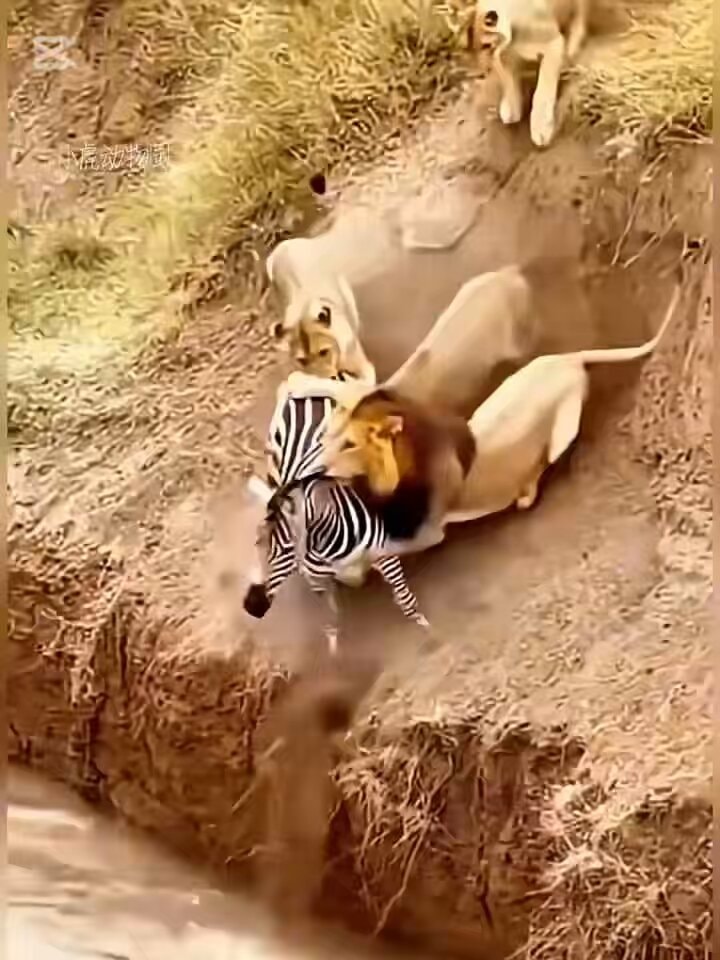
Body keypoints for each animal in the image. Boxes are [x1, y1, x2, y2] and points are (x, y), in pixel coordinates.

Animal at [243, 386, 429, 651]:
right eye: (256, 544)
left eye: (285, 548)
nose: (251, 606)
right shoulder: (317, 580)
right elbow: (330, 619)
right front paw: (335, 653)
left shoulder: (385, 556)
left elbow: (405, 599)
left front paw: (427, 630)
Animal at [468, 0, 590, 147]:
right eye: (480, 48)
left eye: (487, 46)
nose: (483, 68)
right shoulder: (507, 57)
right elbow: (508, 78)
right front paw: (511, 107)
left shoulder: (552, 43)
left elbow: (543, 89)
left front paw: (541, 127)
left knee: (581, 12)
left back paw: (573, 43)